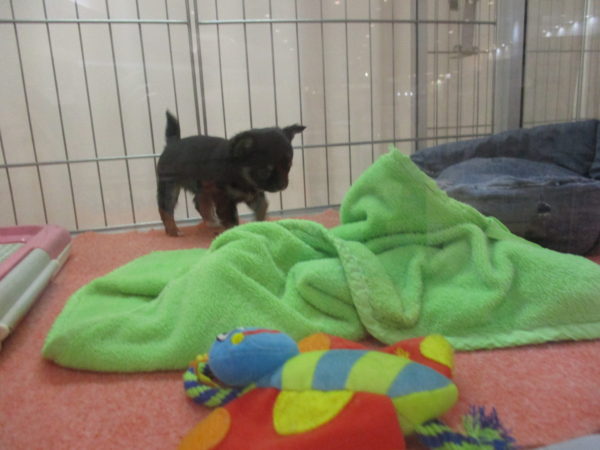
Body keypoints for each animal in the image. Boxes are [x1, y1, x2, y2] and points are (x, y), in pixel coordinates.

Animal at [156, 111, 305, 236]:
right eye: (265, 171)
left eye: (288, 167)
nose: (283, 185)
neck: (241, 176)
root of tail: (172, 143)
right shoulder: (224, 199)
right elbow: (231, 220)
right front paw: (234, 234)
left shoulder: (254, 196)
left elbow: (263, 207)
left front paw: (260, 224)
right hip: (169, 185)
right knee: (165, 208)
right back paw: (173, 230)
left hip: (203, 188)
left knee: (199, 202)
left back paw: (211, 222)